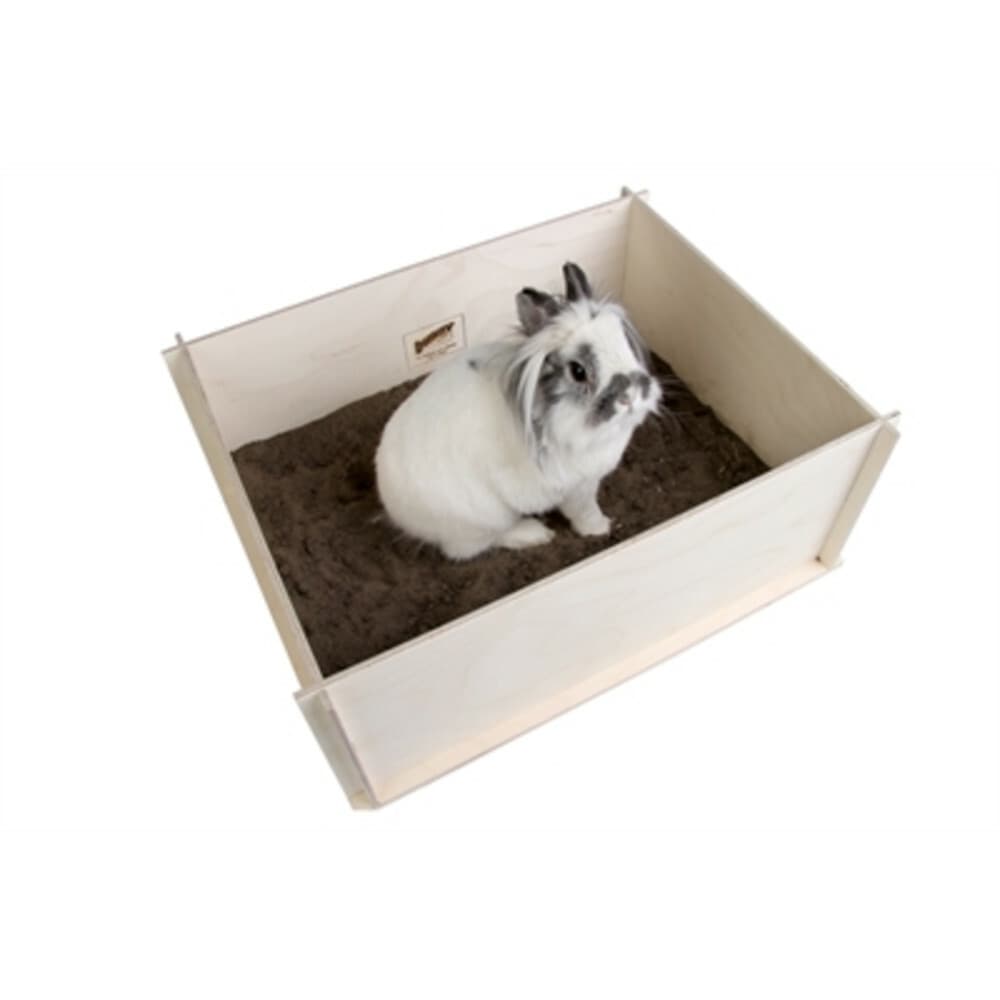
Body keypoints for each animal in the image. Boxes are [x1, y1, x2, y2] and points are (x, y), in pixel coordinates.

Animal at [375, 262, 662, 560]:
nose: (631, 395)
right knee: (473, 547)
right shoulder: (576, 489)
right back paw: (534, 533)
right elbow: (584, 512)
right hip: (483, 519)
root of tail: (393, 504)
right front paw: (599, 528)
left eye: (623, 342)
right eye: (578, 371)